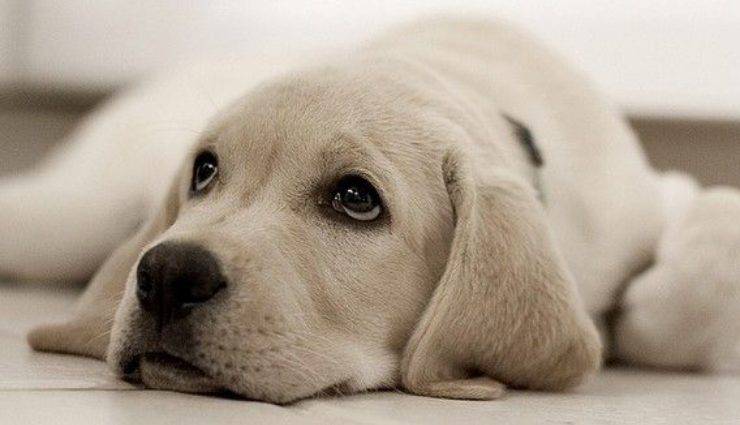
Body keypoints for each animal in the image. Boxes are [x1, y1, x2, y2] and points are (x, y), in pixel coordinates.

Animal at [0, 18, 728, 400]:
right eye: (204, 170)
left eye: (356, 199)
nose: (170, 274)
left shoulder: (659, 198)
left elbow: (702, 262)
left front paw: (638, 316)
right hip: (72, 213)